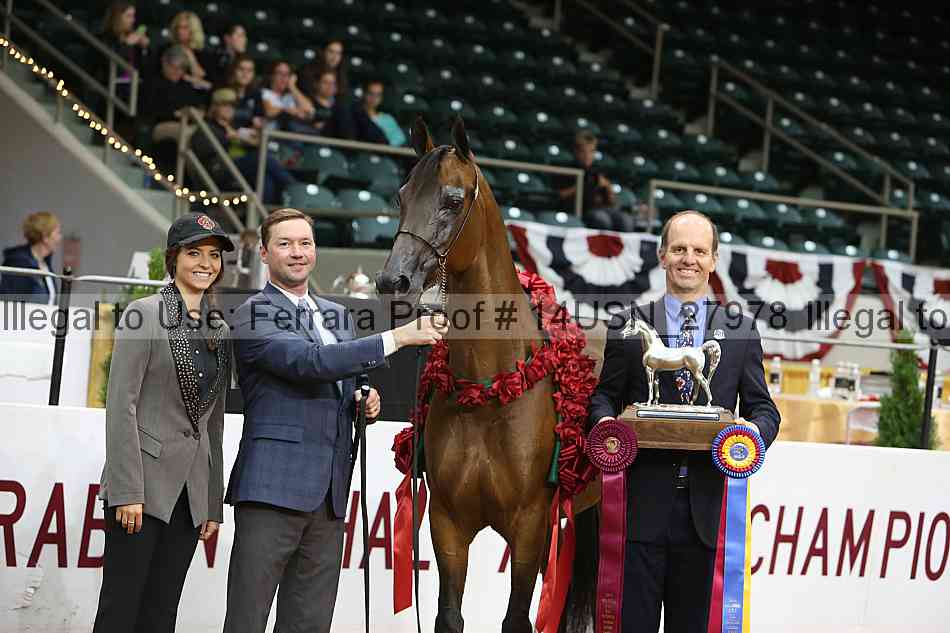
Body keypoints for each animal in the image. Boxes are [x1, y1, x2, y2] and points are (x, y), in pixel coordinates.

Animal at [376, 117, 599, 633]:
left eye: (453, 199)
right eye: (401, 195)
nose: (393, 280)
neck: (491, 391)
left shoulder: (531, 529)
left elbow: (516, 619)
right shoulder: (447, 525)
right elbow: (448, 616)